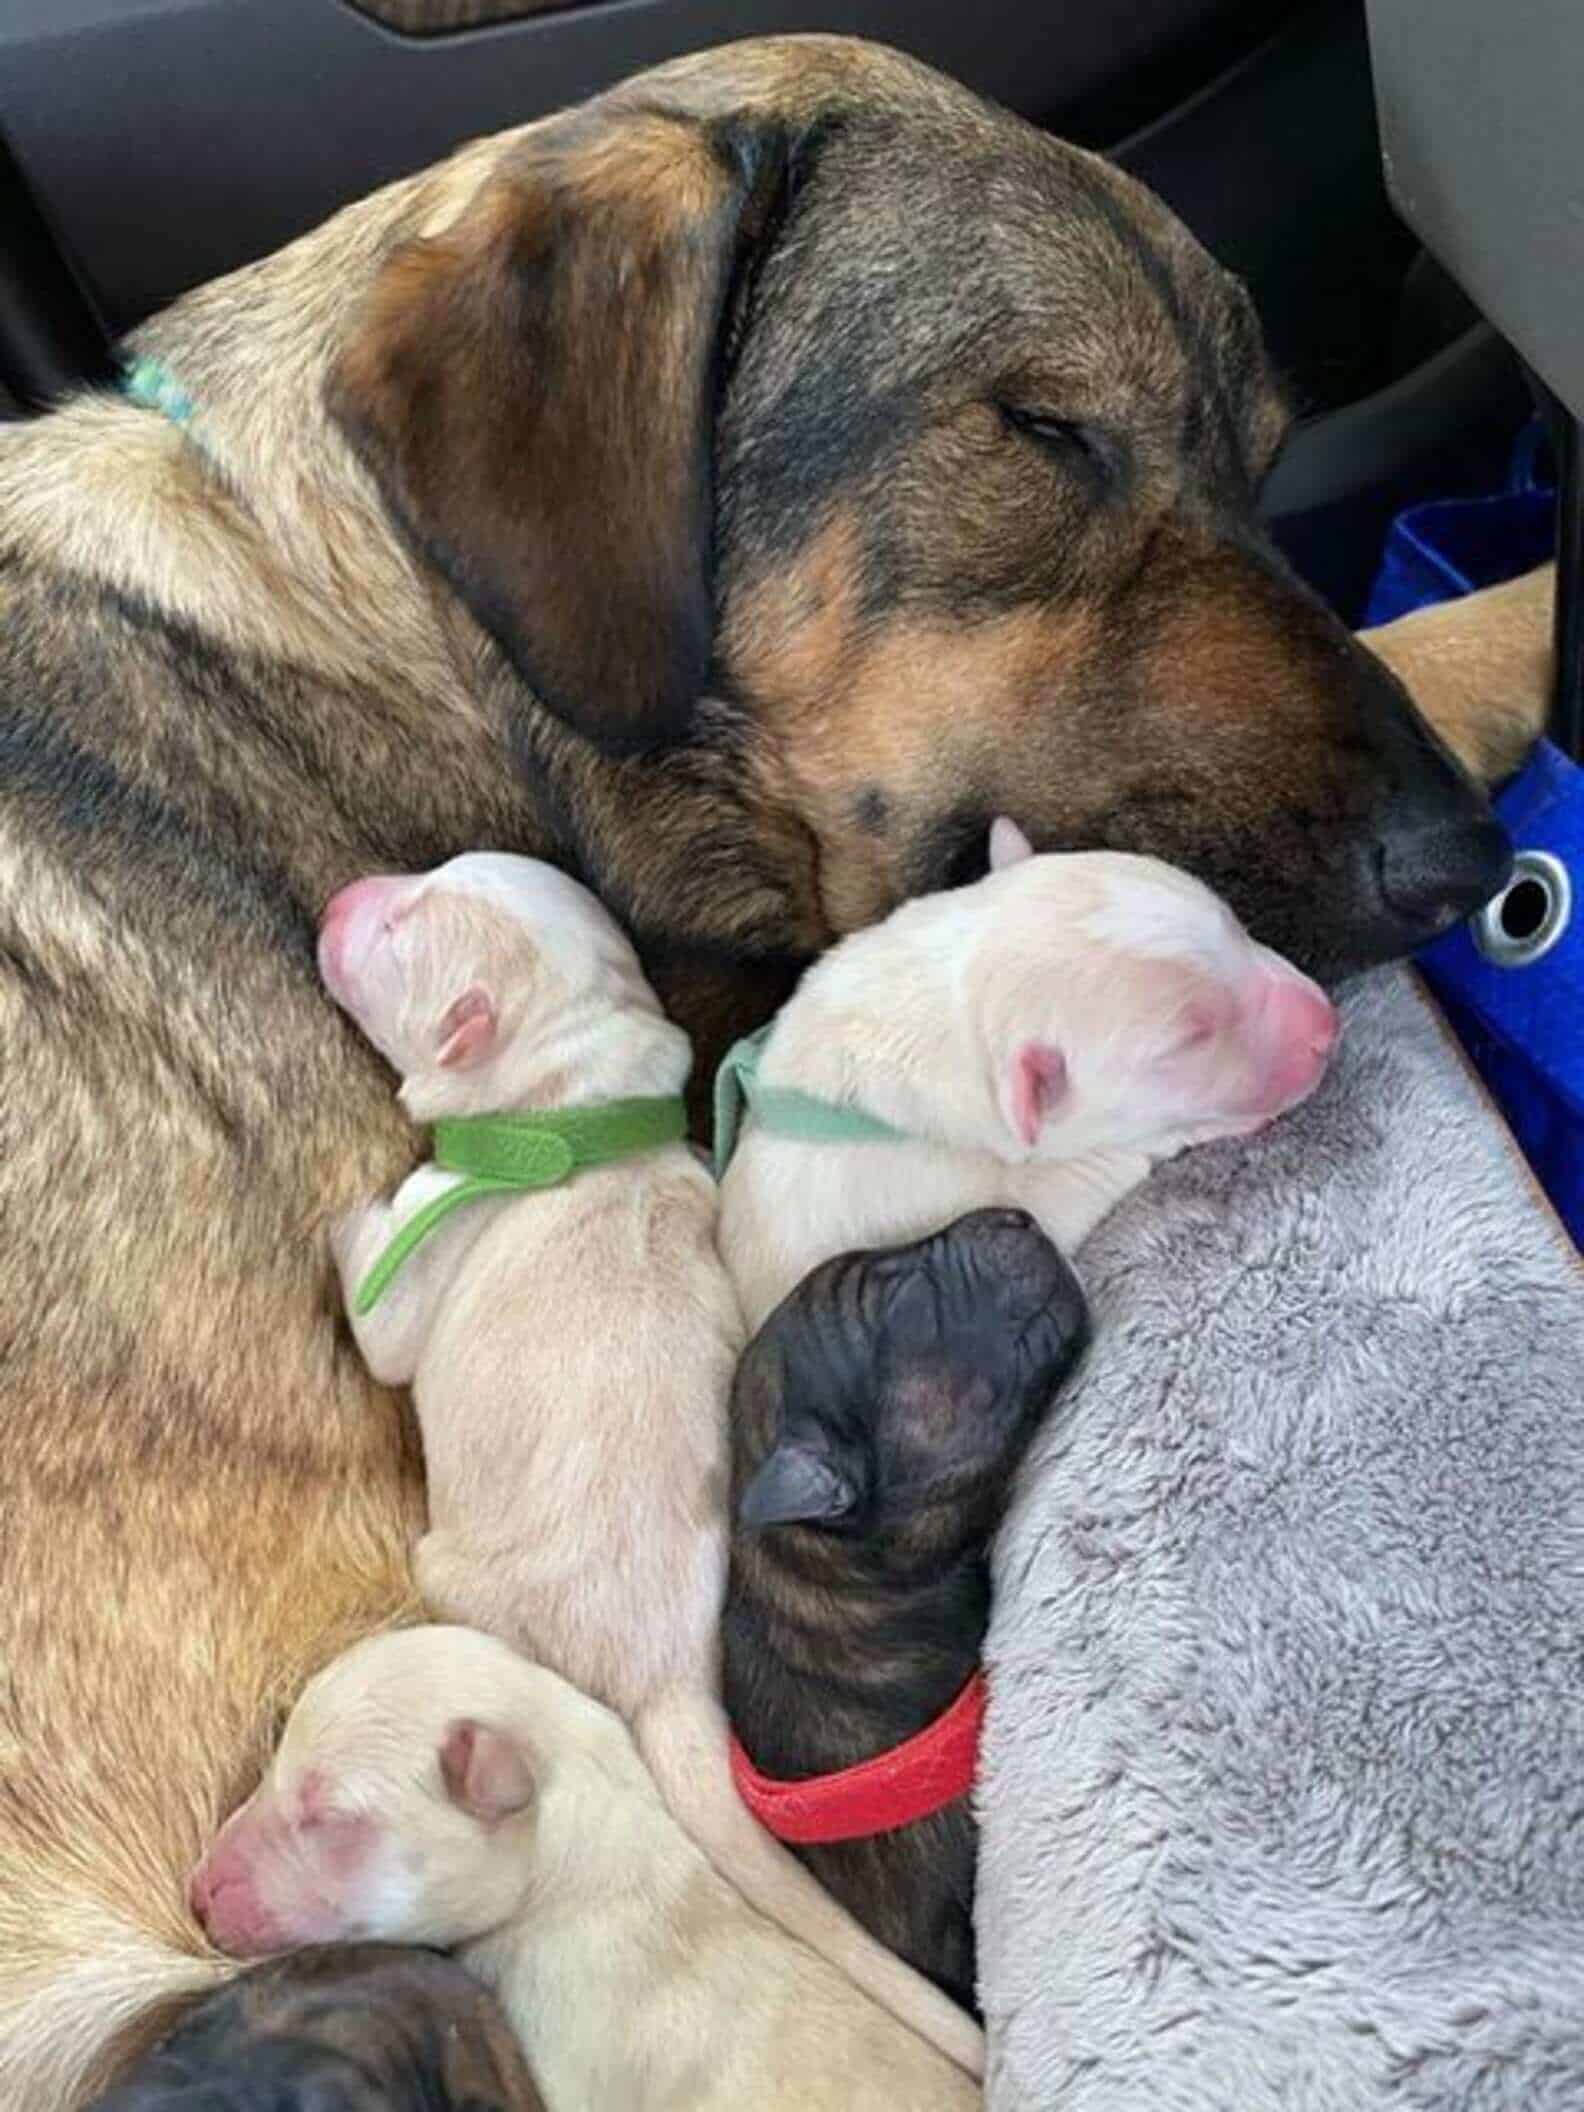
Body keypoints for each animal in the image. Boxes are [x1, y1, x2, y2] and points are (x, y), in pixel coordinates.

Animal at [234, 853, 979, 2078]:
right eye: (427, 872)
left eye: (398, 930)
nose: (344, 896)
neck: (580, 1115)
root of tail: (670, 1673)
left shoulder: (432, 1243)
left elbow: (381, 1312)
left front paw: (348, 1216)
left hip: (453, 1575)